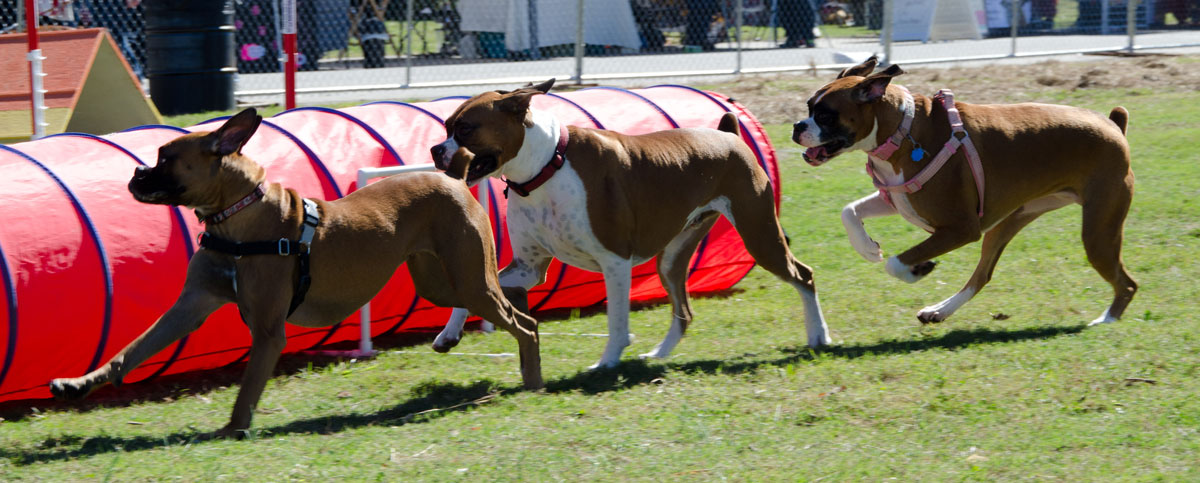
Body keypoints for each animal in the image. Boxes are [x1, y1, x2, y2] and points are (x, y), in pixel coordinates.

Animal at [46, 108, 542, 437]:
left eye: (166, 157)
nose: (134, 175)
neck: (236, 216)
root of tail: (453, 181)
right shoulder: (187, 309)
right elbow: (130, 351)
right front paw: (76, 384)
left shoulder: (268, 332)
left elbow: (247, 388)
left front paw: (231, 429)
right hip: (440, 284)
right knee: (514, 313)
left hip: (471, 284)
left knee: (523, 322)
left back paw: (532, 380)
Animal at [432, 79, 835, 370]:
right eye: (447, 126)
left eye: (465, 129)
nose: (436, 150)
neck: (547, 166)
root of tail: (729, 133)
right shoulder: (528, 268)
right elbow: (471, 293)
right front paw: (448, 336)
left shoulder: (614, 262)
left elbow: (617, 322)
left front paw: (607, 363)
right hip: (671, 259)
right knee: (684, 311)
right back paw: (658, 355)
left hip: (759, 235)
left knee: (804, 275)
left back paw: (819, 336)